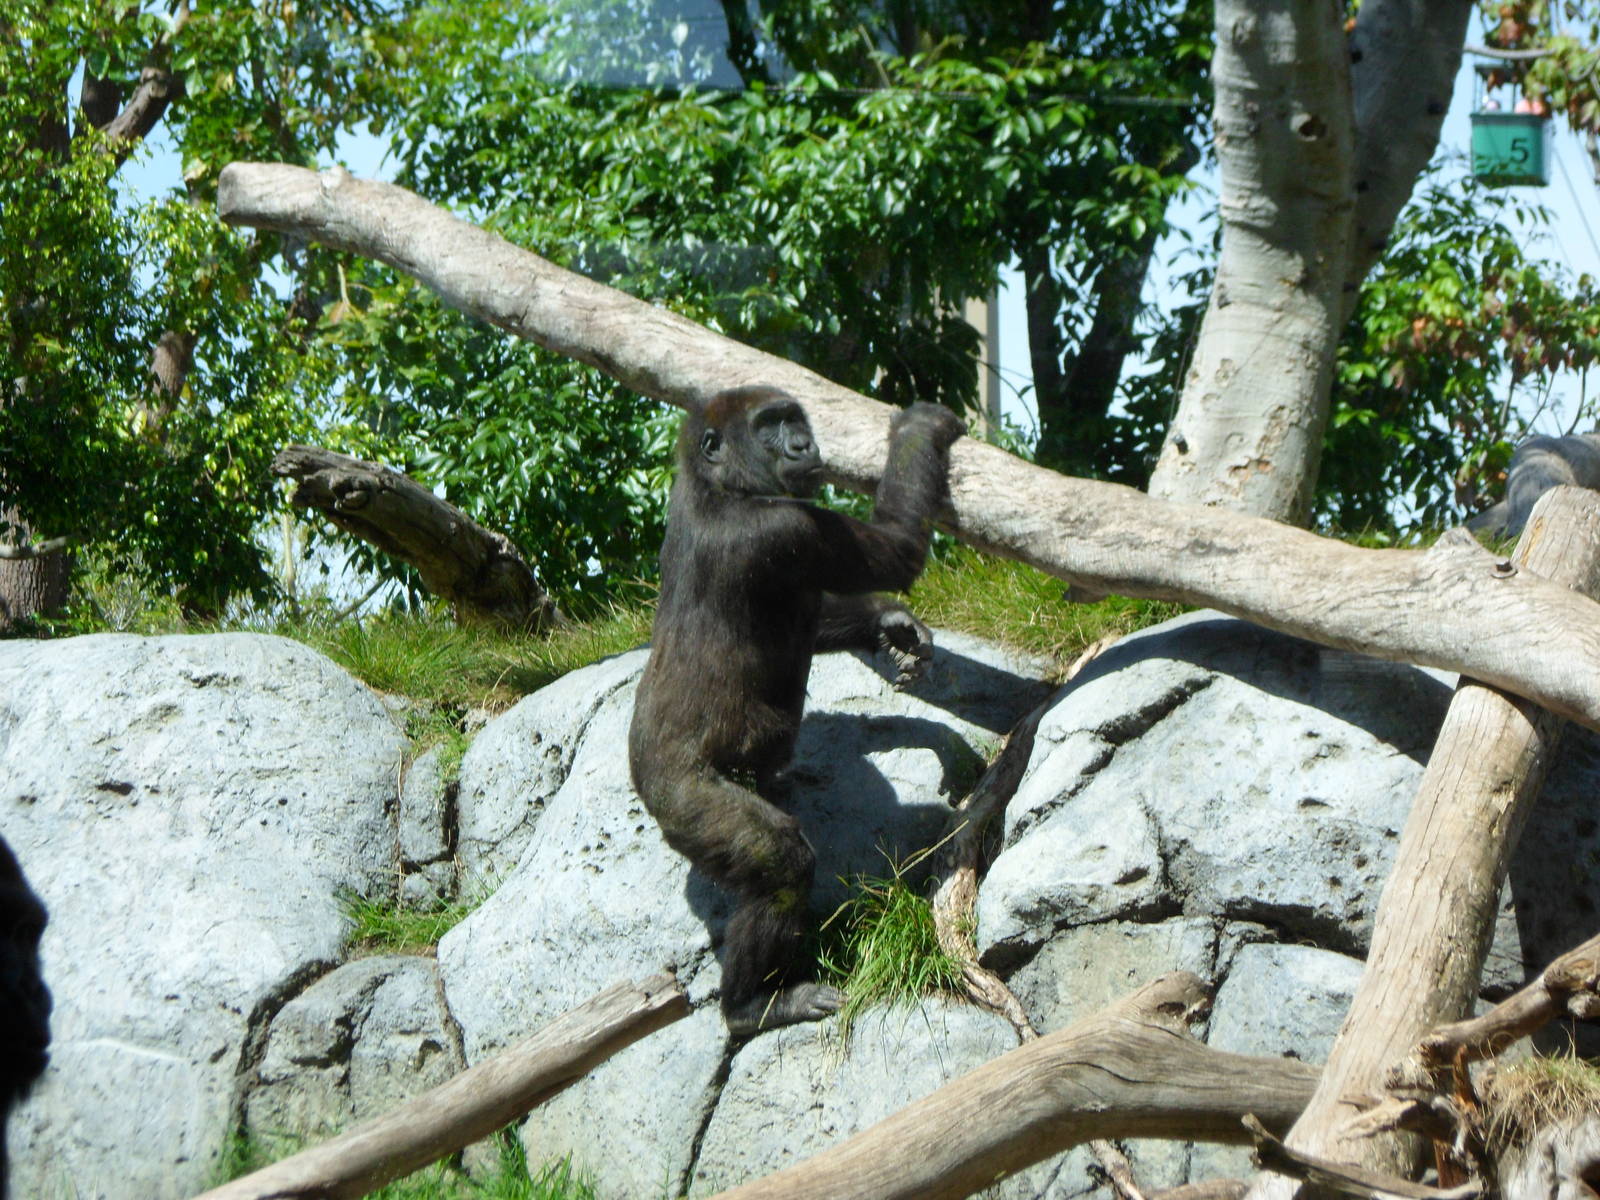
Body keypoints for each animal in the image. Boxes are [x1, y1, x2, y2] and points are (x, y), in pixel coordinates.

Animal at [628, 385, 963, 1035]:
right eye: (769, 427)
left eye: (795, 419)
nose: (805, 445)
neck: (718, 487)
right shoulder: (786, 528)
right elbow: (895, 551)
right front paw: (920, 427)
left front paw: (889, 624)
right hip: (681, 794)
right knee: (777, 862)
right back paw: (752, 1005)